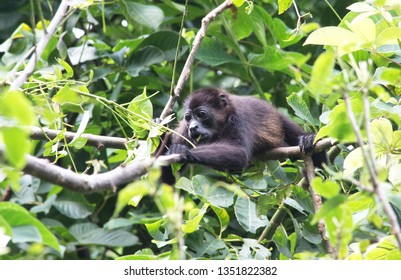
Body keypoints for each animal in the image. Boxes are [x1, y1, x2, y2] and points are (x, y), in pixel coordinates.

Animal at [166, 88, 324, 173]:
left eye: (201, 114)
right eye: (188, 117)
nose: (193, 127)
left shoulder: (238, 119)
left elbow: (240, 152)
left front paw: (184, 152)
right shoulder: (183, 131)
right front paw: (176, 148)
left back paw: (308, 139)